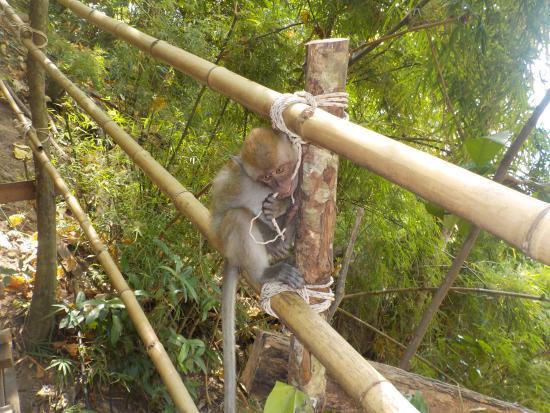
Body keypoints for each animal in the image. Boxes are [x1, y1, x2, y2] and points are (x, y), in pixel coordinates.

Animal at [211, 127, 306, 410]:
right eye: (266, 177)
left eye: (280, 170)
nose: (281, 187)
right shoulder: (236, 183)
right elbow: (220, 213)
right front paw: (279, 208)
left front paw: (285, 204)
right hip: (232, 246)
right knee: (238, 218)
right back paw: (264, 271)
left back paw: (287, 227)